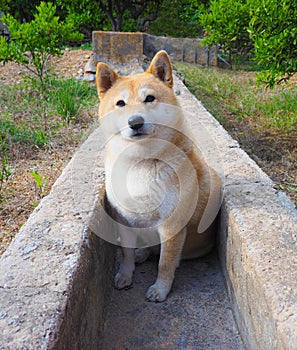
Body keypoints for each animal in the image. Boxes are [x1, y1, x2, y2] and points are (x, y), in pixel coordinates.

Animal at [96, 50, 221, 302]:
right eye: (120, 103)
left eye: (150, 98)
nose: (135, 122)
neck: (142, 162)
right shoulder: (125, 220)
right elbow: (125, 253)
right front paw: (125, 274)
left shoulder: (172, 227)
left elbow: (165, 262)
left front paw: (160, 289)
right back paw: (142, 254)